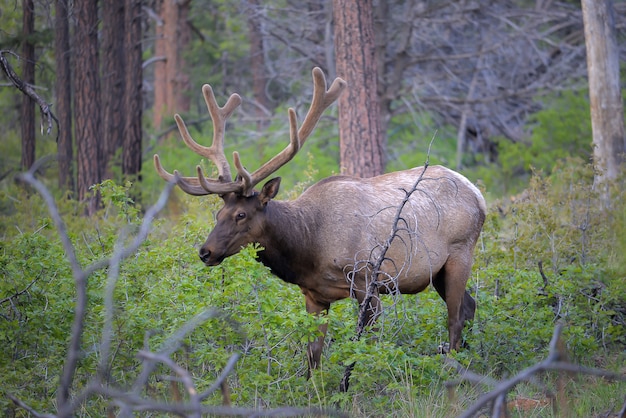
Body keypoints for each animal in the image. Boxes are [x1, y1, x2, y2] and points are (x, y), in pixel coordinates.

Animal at [154, 68, 486, 378]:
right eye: (218, 214)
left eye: (241, 215)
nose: (205, 252)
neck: (309, 248)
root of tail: (478, 195)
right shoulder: (314, 295)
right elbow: (313, 355)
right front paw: (316, 390)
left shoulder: (367, 281)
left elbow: (367, 344)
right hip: (436, 272)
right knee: (469, 307)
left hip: (460, 253)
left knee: (455, 316)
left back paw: (452, 368)